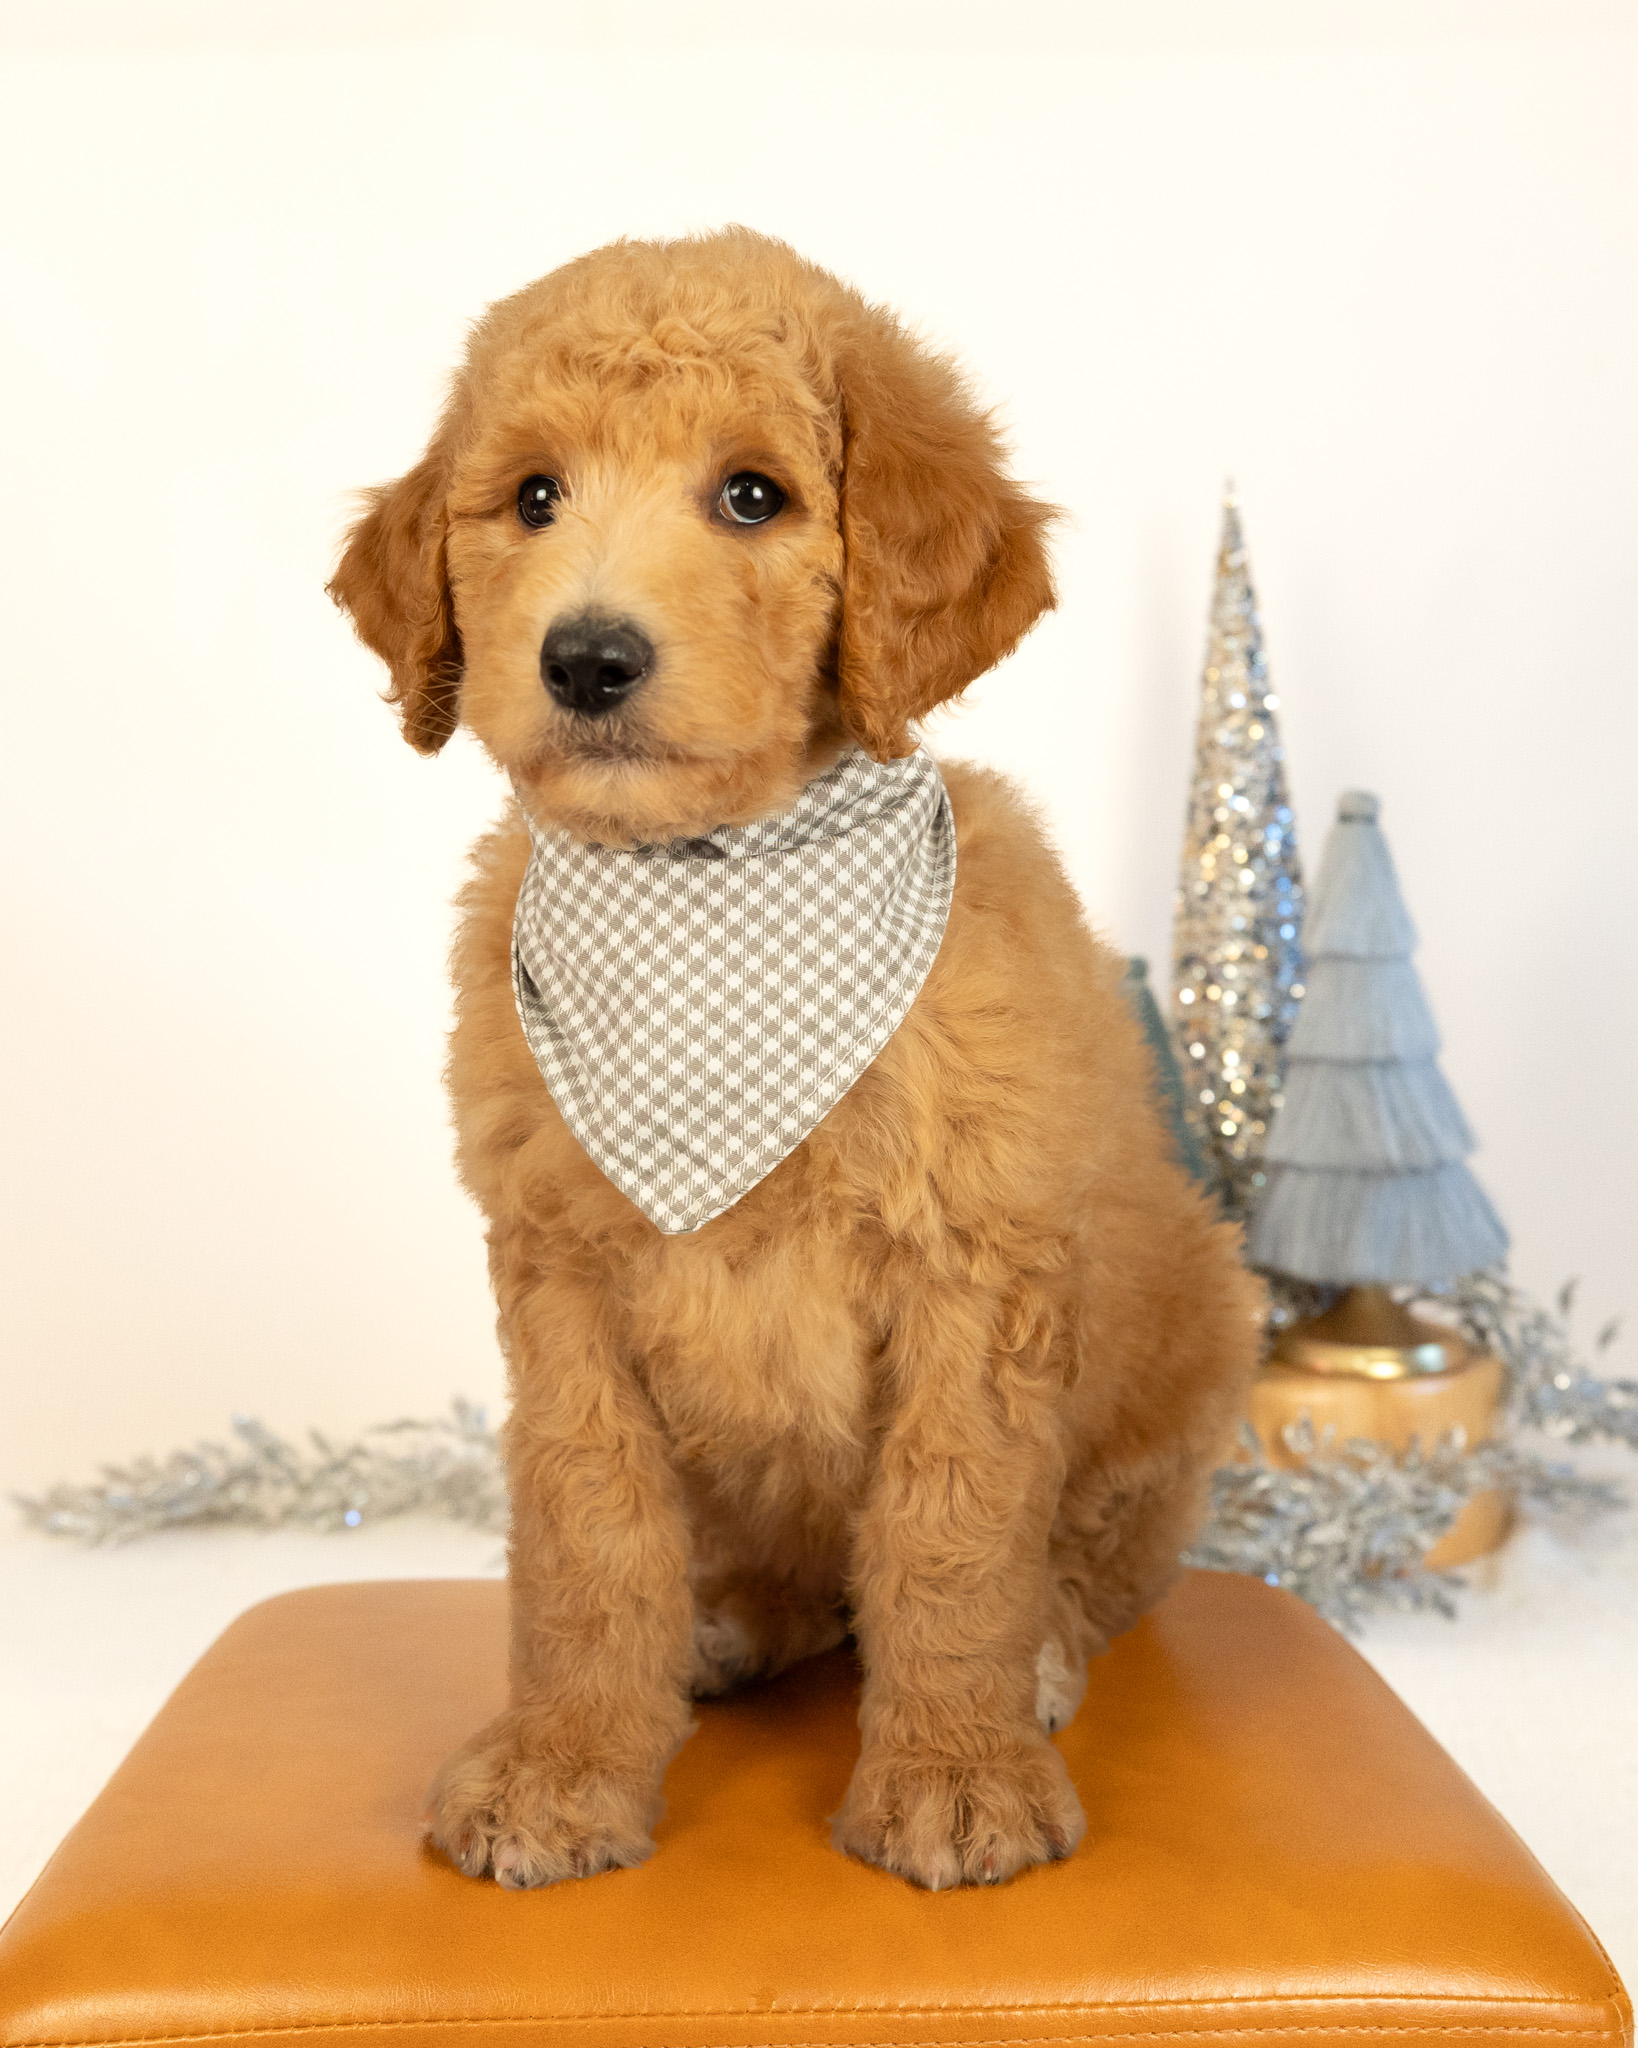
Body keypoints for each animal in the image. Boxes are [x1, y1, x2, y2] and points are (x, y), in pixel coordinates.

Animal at [330, 228, 1261, 1892]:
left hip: (1192, 1337)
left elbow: (949, 1538)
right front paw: (565, 1763)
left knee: (1093, 1560)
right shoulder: (561, 1281)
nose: (587, 659)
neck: (712, 890)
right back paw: (729, 1623)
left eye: (752, 496)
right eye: (533, 498)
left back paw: (1035, 1657)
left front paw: (951, 1773)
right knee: (774, 1568)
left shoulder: (972, 1280)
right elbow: (584, 1535)